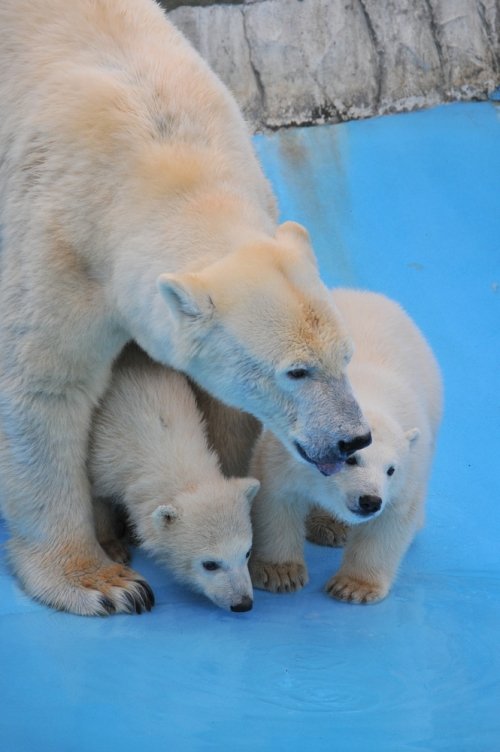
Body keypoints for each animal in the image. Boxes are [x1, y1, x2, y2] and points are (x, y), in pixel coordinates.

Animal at [0, 1, 372, 616]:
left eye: (346, 358)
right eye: (296, 371)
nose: (352, 439)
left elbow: (225, 410)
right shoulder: (55, 242)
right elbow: (43, 389)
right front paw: (100, 582)